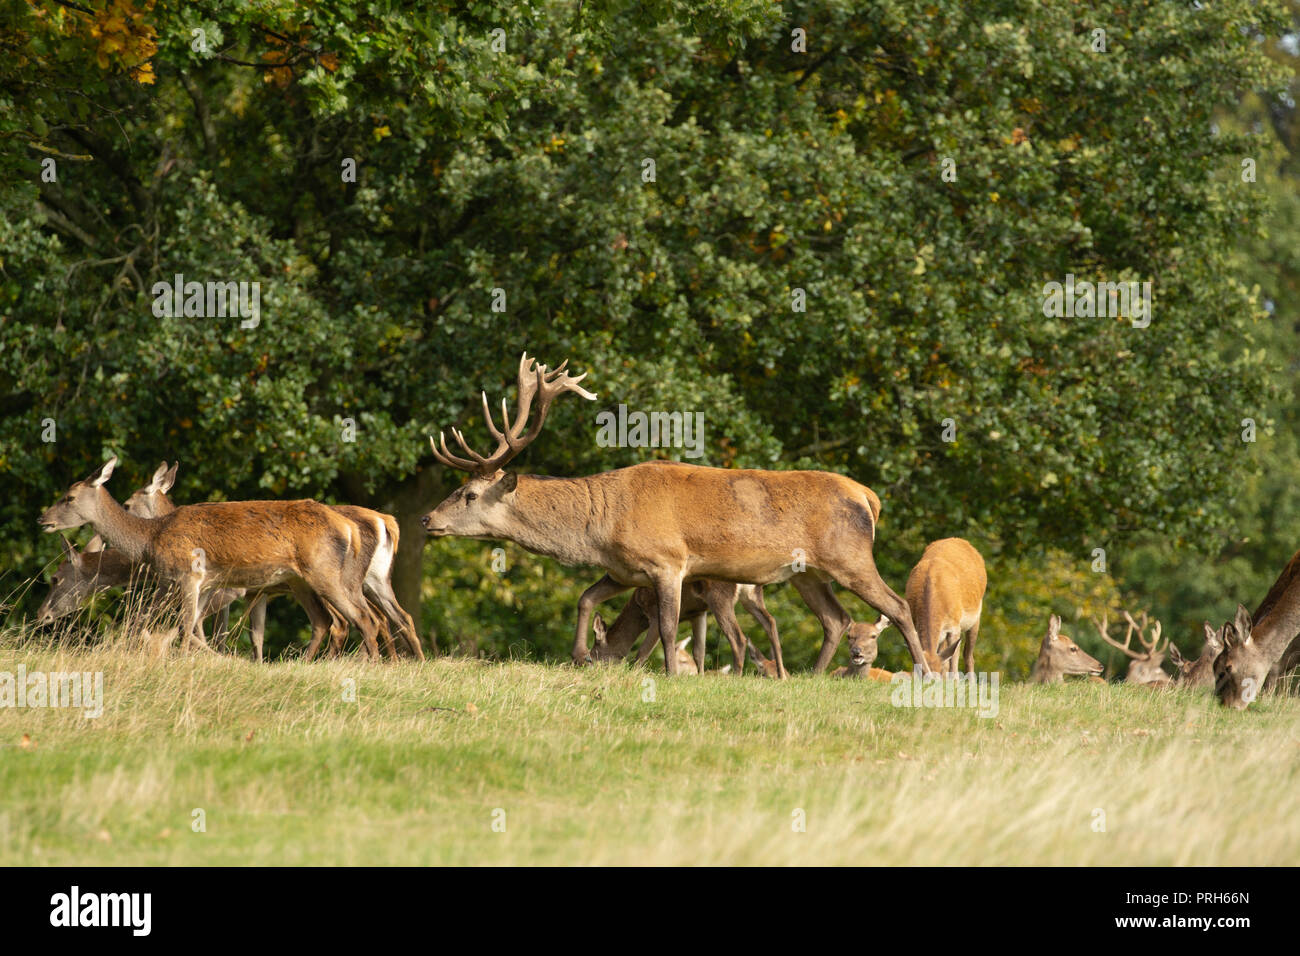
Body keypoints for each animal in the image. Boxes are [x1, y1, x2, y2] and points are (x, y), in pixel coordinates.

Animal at [38, 456, 382, 659]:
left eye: (68, 497)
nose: (43, 519)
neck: (150, 540)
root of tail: (348, 526)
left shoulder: (192, 576)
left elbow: (186, 628)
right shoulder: (182, 585)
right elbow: (157, 624)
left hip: (324, 574)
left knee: (362, 619)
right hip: (302, 581)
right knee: (328, 621)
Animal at [124, 462, 422, 662]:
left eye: (127, 504)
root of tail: (387, 521)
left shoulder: (228, 589)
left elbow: (203, 625)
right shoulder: (258, 592)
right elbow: (253, 633)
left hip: (330, 580)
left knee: (353, 620)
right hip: (371, 580)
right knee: (393, 616)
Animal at [421, 352, 930, 677]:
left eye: (468, 493)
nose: (427, 519)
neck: (600, 526)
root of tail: (868, 496)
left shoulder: (667, 561)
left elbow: (666, 626)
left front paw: (668, 674)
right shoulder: (624, 570)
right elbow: (585, 598)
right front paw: (581, 655)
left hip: (850, 556)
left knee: (897, 605)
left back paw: (924, 672)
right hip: (810, 573)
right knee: (835, 619)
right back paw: (814, 677)